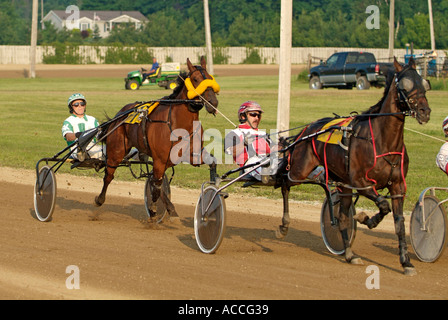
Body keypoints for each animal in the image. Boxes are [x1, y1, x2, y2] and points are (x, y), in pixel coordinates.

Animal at [95, 56, 220, 219]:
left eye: (210, 78)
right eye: (195, 79)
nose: (213, 103)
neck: (178, 123)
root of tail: (119, 115)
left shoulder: (192, 155)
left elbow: (212, 162)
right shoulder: (160, 159)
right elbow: (157, 186)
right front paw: (154, 209)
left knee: (152, 179)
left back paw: (170, 208)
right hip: (117, 150)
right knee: (110, 175)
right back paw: (100, 199)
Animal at [280, 58, 430, 276]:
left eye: (424, 83)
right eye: (405, 85)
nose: (425, 112)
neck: (383, 141)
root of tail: (306, 129)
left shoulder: (397, 187)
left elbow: (399, 223)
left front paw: (406, 262)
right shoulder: (361, 182)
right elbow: (383, 206)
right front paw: (366, 218)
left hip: (342, 185)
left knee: (342, 218)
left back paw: (350, 255)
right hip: (300, 170)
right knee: (284, 183)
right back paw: (284, 225)